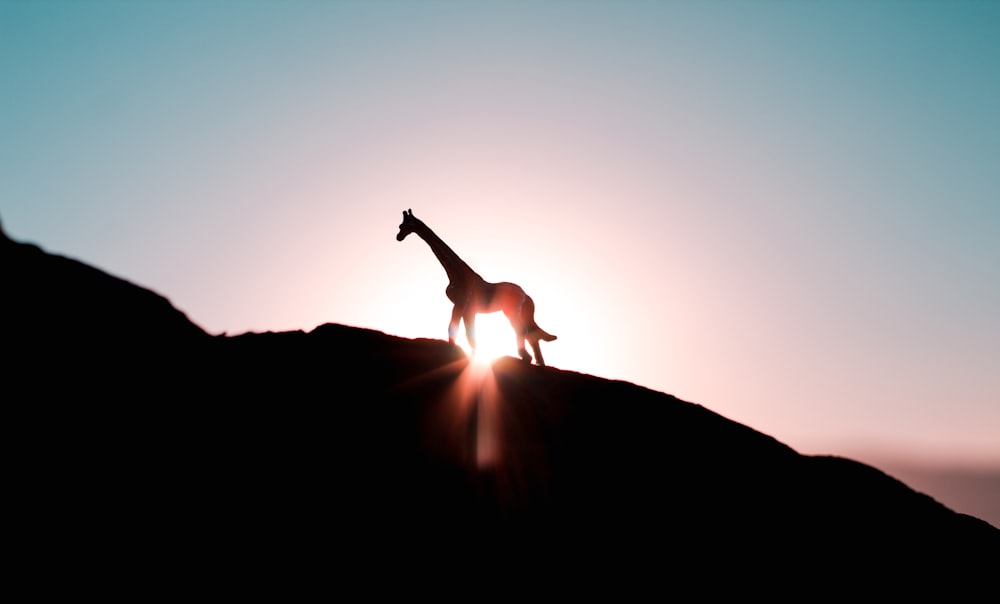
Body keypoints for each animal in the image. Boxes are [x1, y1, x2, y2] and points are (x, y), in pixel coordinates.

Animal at [394, 209, 560, 364]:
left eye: (404, 225)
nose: (398, 237)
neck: (455, 273)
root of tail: (525, 294)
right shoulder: (468, 309)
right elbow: (469, 336)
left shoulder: (461, 303)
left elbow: (457, 330)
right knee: (532, 335)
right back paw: (537, 362)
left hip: (511, 311)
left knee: (522, 331)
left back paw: (526, 358)